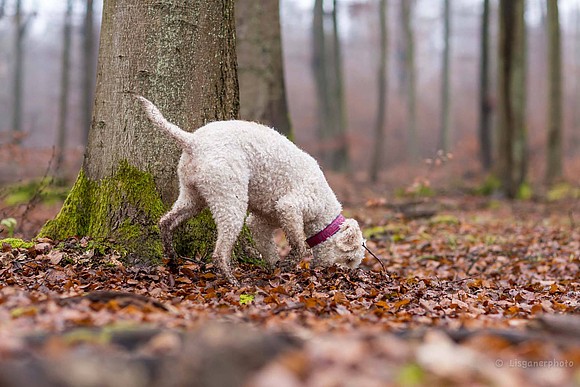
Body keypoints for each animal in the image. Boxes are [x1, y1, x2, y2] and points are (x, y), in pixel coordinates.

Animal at [137, 97, 362, 284]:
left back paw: (172, 258)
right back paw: (230, 280)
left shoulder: (262, 221)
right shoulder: (290, 206)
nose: (342, 275)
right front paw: (290, 262)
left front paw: (276, 267)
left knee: (166, 222)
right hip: (230, 198)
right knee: (219, 252)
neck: (324, 210)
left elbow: (268, 246)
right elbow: (300, 245)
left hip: (192, 196)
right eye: (350, 259)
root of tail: (193, 141)